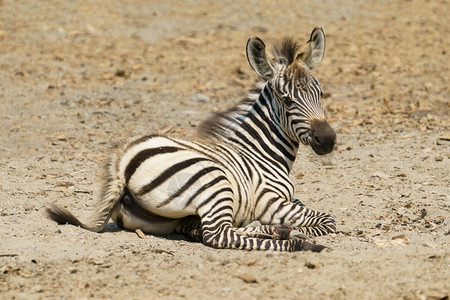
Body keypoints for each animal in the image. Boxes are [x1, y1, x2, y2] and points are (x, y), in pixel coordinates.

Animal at [48, 27, 338, 252]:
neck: (261, 152)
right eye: (287, 101)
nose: (327, 140)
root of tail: (122, 161)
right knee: (218, 234)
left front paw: (278, 227)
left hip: (167, 217)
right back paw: (296, 241)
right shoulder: (270, 201)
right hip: (215, 181)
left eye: (321, 93)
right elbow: (327, 221)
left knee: (204, 229)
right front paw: (294, 230)